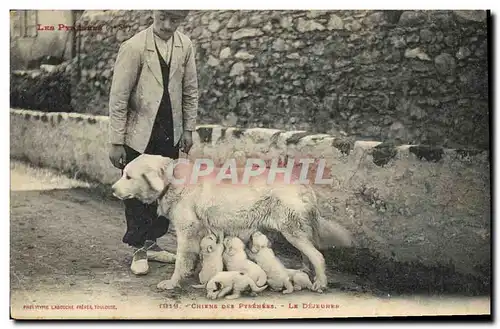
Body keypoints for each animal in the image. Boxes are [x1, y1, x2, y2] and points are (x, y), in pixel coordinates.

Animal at [112, 154, 356, 292]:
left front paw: (173, 283)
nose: (113, 189)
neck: (172, 180)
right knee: (308, 256)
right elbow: (195, 258)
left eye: (128, 177)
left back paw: (320, 283)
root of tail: (303, 183)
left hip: (292, 231)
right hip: (295, 233)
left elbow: (181, 261)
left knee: (318, 256)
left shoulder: (186, 231)